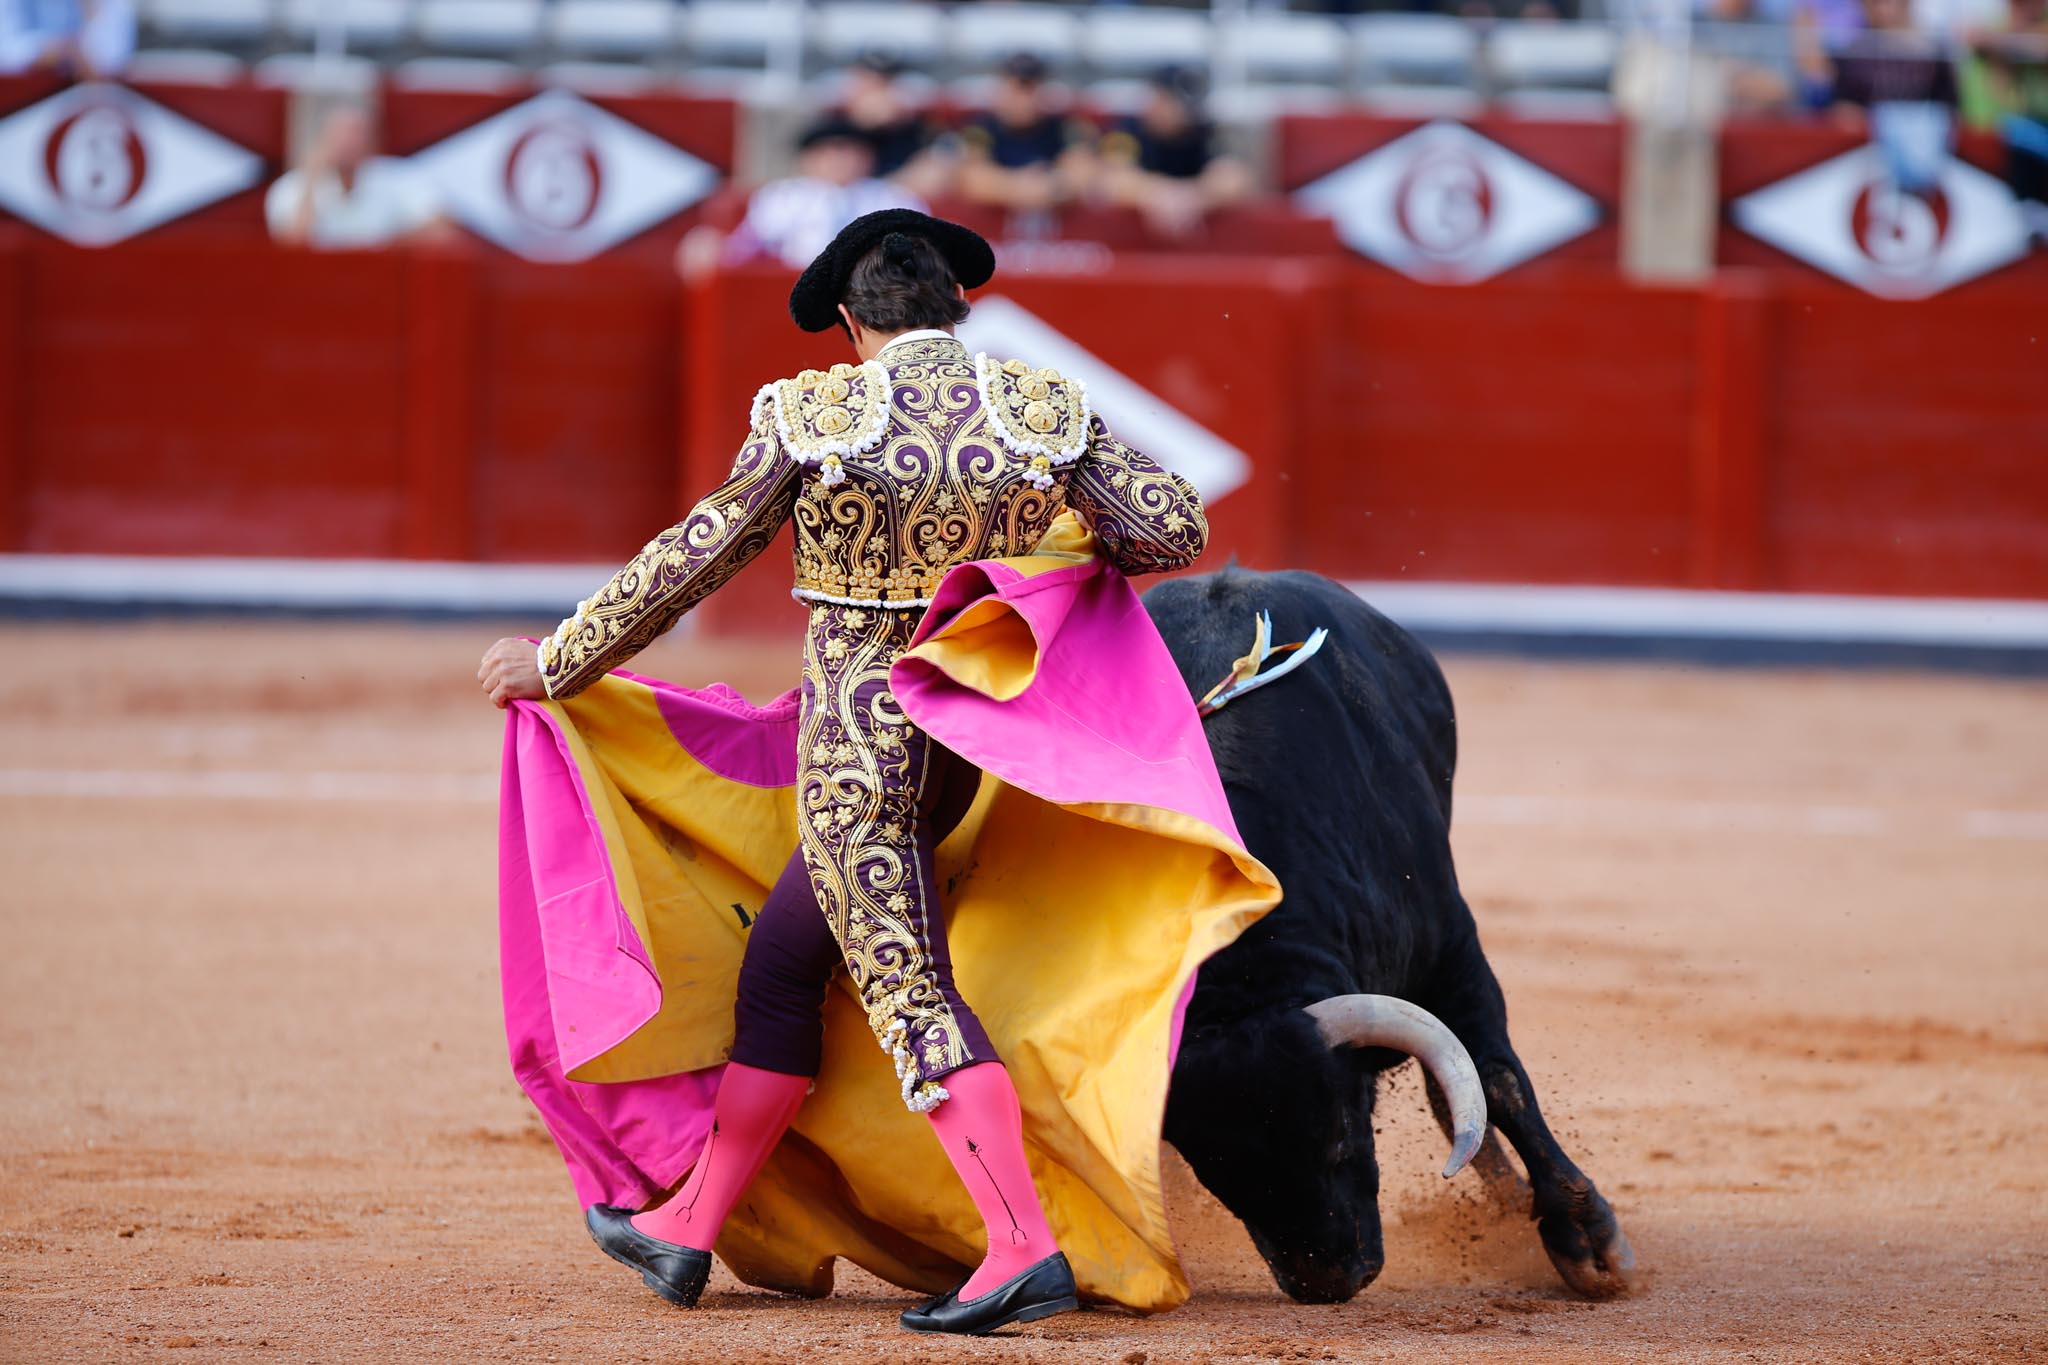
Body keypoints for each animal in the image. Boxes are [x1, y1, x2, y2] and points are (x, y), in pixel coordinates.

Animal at [1155, 564, 1630, 1301]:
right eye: (1216, 1169)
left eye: (1342, 1137)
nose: (1330, 1279)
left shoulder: (1454, 953)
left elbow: (1497, 1077)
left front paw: (1587, 1238)